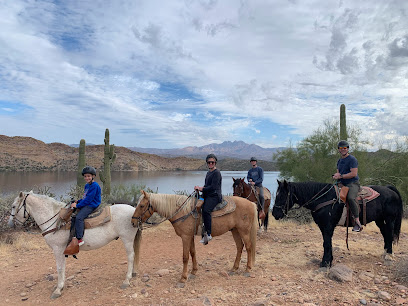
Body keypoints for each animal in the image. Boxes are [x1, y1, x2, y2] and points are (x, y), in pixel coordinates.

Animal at [7, 191, 142, 298]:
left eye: (13, 206)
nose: (10, 224)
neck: (56, 221)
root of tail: (133, 211)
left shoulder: (58, 249)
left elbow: (59, 268)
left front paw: (58, 290)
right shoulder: (62, 250)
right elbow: (63, 267)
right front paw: (61, 286)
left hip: (127, 239)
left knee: (131, 256)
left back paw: (127, 280)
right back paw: (133, 274)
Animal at [272, 179, 404, 268]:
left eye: (282, 195)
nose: (274, 214)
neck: (323, 198)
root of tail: (390, 189)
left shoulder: (328, 226)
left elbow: (326, 243)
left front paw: (325, 263)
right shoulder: (323, 226)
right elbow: (326, 243)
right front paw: (328, 261)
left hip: (390, 219)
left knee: (389, 234)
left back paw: (389, 255)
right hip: (380, 220)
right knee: (385, 234)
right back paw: (385, 253)